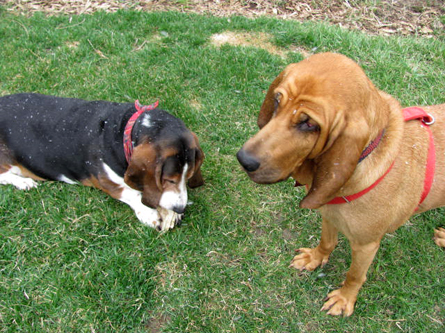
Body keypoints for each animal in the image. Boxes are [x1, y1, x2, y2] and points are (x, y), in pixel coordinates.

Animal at [0, 92, 204, 230]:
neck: (121, 131)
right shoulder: (106, 181)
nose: (180, 209)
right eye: (169, 180)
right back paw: (24, 182)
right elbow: (132, 194)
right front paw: (150, 213)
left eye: (188, 177)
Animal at [236, 52, 444, 314]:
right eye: (276, 100)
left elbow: (354, 276)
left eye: (309, 124)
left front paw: (345, 299)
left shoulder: (366, 245)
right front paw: (314, 259)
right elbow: (326, 242)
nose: (244, 160)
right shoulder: (328, 213)